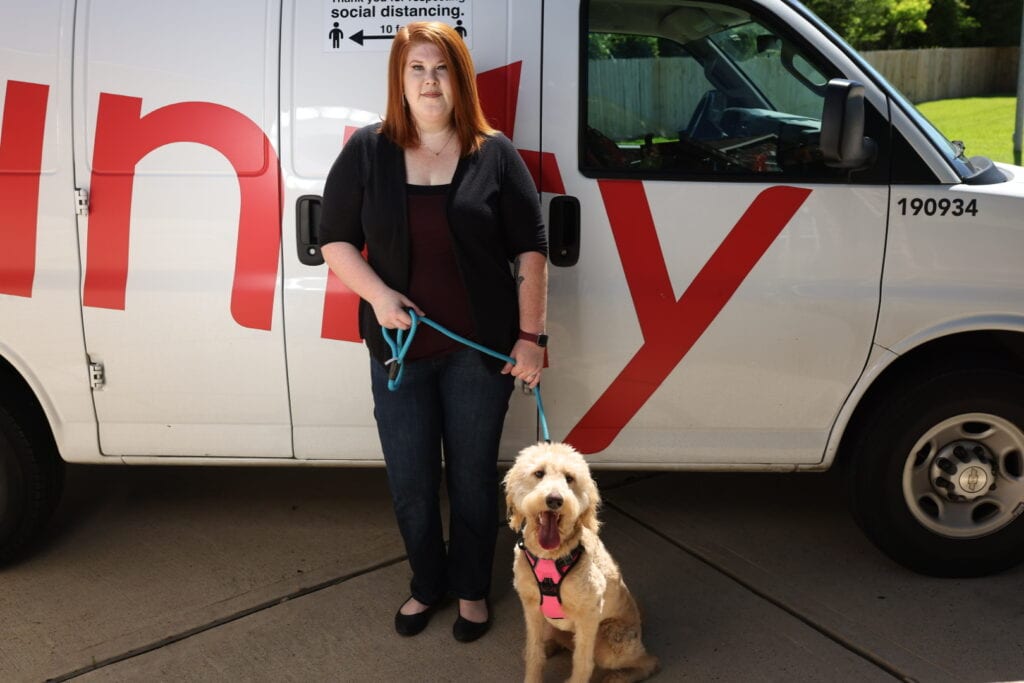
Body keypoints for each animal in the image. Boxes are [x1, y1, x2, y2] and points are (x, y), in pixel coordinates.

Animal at [501, 444, 655, 683]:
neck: (550, 557)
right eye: (539, 473)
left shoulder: (588, 615)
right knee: (555, 643)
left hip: (611, 643)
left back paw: (618, 677)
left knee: (648, 661)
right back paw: (550, 646)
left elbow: (583, 663)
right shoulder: (531, 608)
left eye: (569, 478)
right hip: (551, 625)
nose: (555, 500)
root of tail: (639, 623)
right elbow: (535, 653)